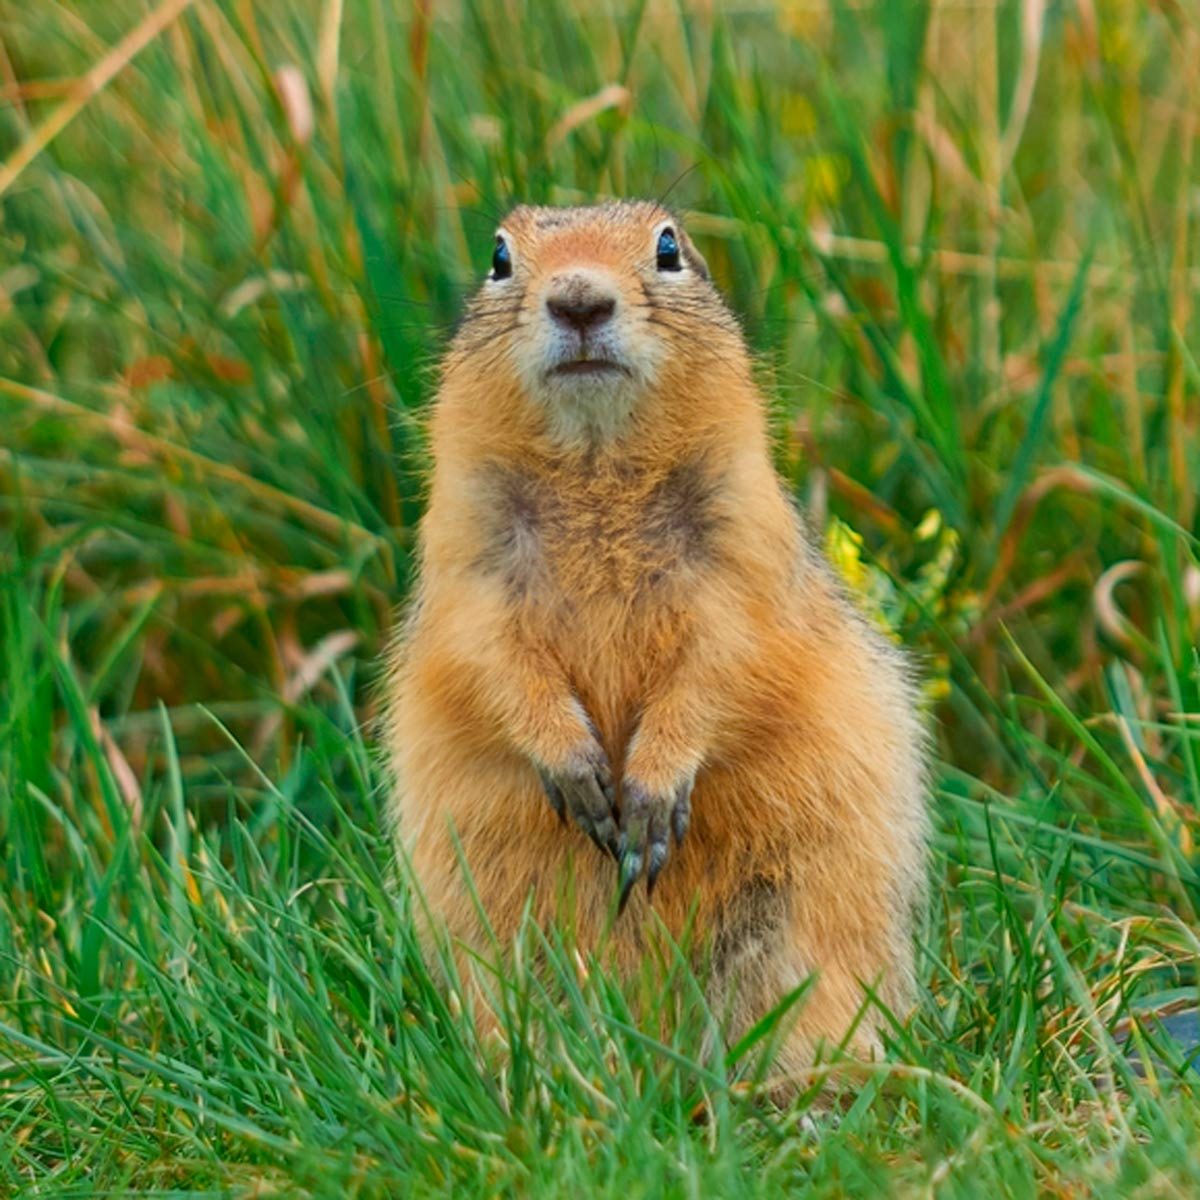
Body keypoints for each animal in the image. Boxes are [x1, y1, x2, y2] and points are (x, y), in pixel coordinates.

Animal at [384, 201, 926, 1075]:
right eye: (499, 257)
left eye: (669, 246)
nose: (578, 300)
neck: (597, 467)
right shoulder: (469, 558)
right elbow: (492, 657)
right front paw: (575, 769)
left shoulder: (742, 555)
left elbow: (723, 659)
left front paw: (650, 792)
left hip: (796, 935)